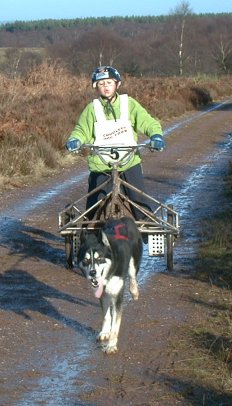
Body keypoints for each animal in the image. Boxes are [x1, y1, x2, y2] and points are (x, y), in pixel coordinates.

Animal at [78, 217, 142, 354]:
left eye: (99, 258)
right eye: (86, 260)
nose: (92, 273)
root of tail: (124, 218)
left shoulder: (117, 296)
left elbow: (115, 324)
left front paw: (111, 345)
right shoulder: (103, 295)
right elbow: (107, 316)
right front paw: (104, 332)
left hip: (134, 263)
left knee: (133, 276)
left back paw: (134, 292)